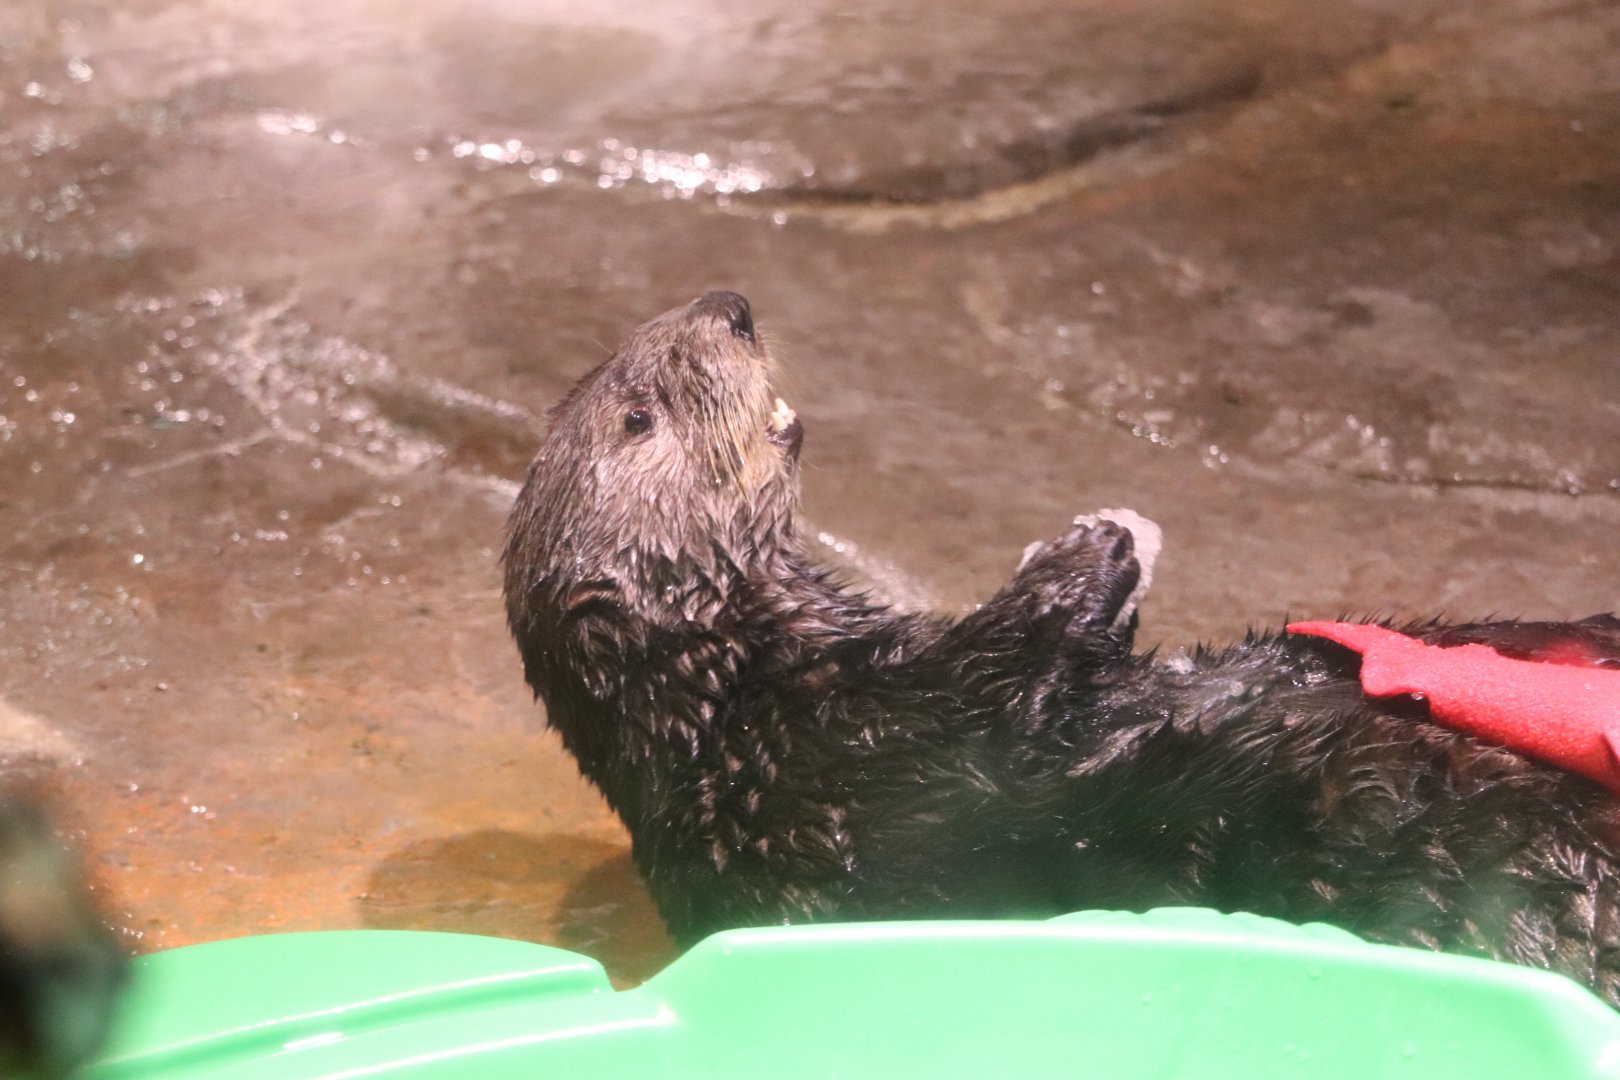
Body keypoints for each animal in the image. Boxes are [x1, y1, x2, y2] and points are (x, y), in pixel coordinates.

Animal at [504, 291, 1620, 1003]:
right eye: (639, 417)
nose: (728, 304)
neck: (749, 695)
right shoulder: (863, 767)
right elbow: (1016, 675)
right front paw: (1096, 537)